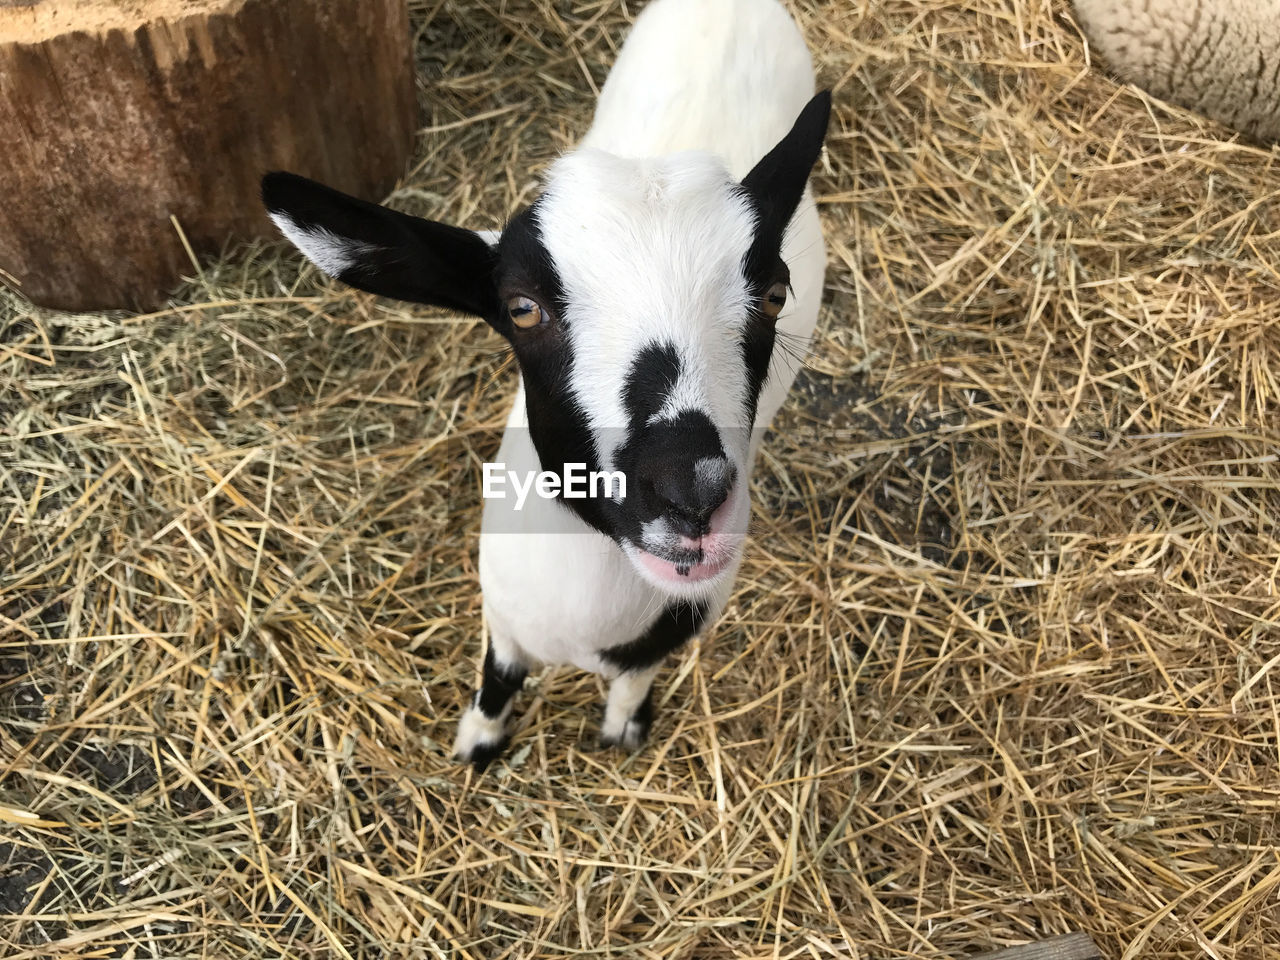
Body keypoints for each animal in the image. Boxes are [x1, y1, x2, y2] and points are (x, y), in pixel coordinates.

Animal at [264, 0, 834, 773]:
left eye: (775, 295)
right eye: (522, 309)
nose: (691, 494)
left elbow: (634, 683)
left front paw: (622, 728)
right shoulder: (503, 612)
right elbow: (498, 678)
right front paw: (478, 742)